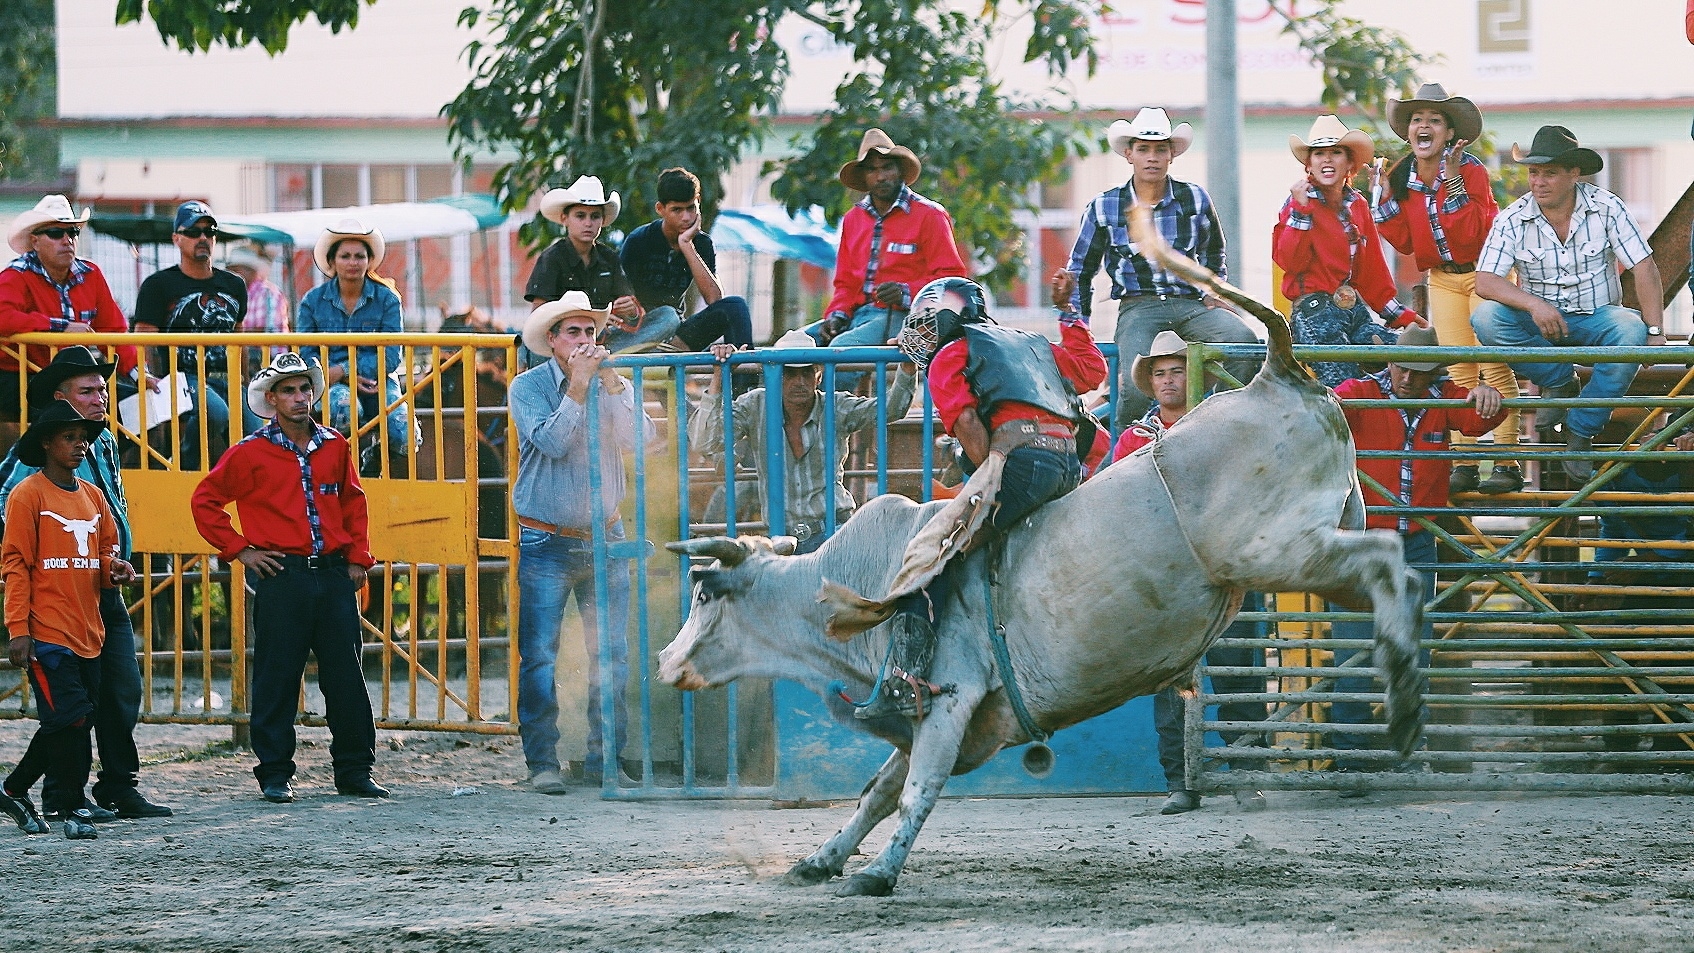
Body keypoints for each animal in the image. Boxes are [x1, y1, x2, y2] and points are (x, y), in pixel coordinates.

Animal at [653, 207, 1422, 893]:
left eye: (703, 593)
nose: (664, 661)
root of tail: (1273, 372)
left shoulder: (950, 696)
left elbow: (915, 790)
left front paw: (876, 873)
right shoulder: (943, 724)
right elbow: (878, 791)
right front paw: (821, 859)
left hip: (1278, 549)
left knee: (1389, 564)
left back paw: (1408, 701)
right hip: (1320, 535)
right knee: (1387, 566)